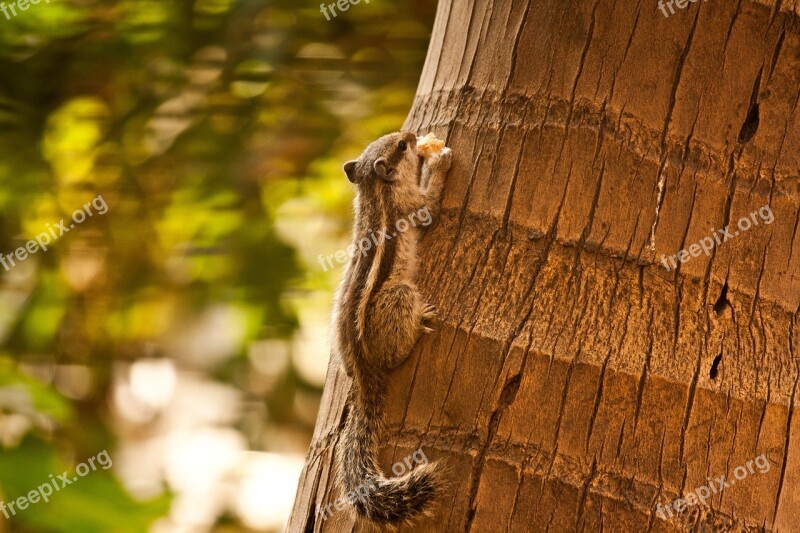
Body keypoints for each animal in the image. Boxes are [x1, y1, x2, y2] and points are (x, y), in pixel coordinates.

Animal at [330, 130, 450, 524]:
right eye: (401, 146)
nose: (412, 134)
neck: (375, 191)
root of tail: (363, 371)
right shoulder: (413, 204)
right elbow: (432, 203)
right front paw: (438, 161)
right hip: (399, 295)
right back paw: (420, 323)